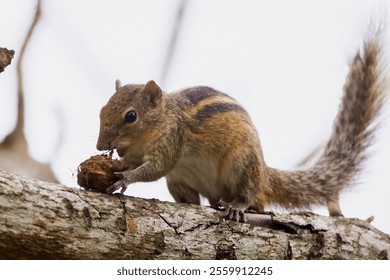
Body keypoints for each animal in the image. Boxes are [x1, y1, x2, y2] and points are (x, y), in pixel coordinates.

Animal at [96, 35, 384, 221]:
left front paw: (126, 177)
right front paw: (119, 164)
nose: (100, 146)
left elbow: (155, 168)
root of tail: (264, 173)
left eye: (131, 116)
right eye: (102, 110)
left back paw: (239, 205)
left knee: (252, 195)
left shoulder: (172, 139)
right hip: (179, 182)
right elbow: (136, 162)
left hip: (242, 164)